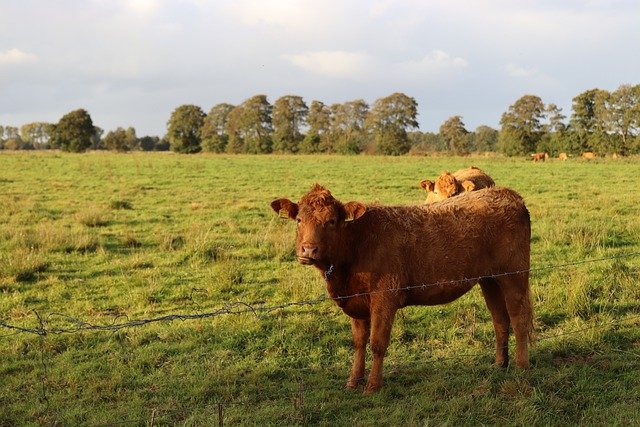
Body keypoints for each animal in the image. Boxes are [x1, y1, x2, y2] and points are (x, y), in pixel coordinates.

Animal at [272, 184, 536, 394]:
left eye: (331, 222)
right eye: (299, 220)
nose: (308, 249)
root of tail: (508, 194)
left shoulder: (384, 299)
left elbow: (377, 343)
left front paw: (372, 386)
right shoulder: (357, 304)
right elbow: (359, 342)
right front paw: (353, 381)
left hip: (514, 276)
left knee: (519, 318)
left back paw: (521, 367)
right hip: (489, 279)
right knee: (500, 319)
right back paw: (500, 363)